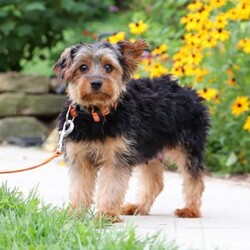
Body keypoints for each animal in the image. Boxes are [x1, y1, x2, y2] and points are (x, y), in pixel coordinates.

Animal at [54, 40, 209, 222]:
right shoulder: (80, 158)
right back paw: (138, 207)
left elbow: (111, 186)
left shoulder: (116, 158)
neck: (96, 114)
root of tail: (189, 91)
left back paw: (190, 209)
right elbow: (79, 187)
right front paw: (75, 213)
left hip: (187, 147)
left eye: (108, 67)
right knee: (155, 183)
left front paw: (107, 214)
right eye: (83, 67)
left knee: (194, 179)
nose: (96, 83)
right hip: (150, 150)